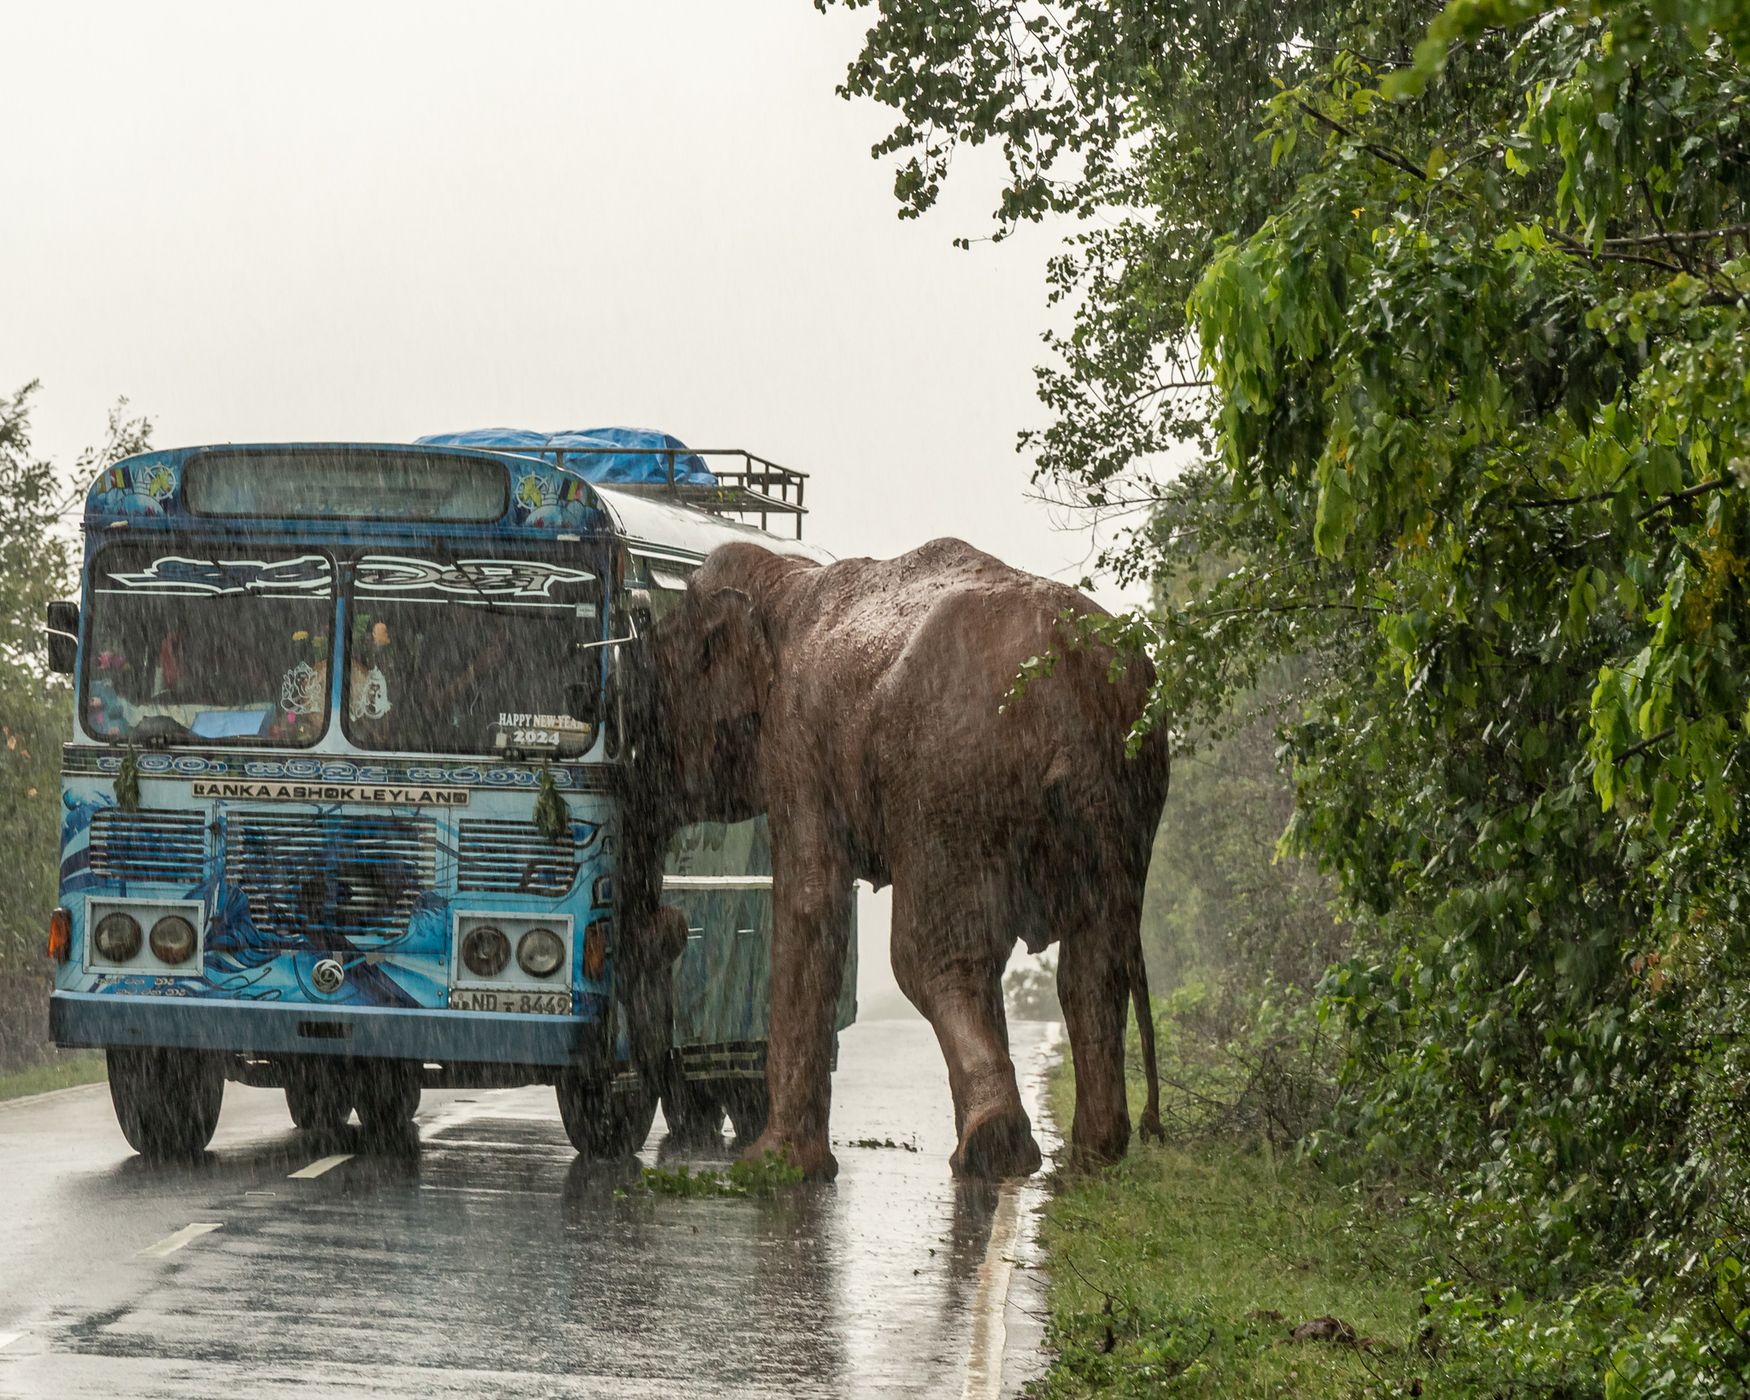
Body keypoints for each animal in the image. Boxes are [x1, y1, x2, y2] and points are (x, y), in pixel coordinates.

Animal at [621, 537, 1166, 1180]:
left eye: (647, 699)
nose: (665, 924)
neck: (783, 577)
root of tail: (1076, 676)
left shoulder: (796, 743)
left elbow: (810, 902)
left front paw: (773, 1168)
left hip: (946, 782)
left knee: (931, 957)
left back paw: (994, 1149)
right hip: (1131, 796)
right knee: (1092, 963)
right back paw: (1091, 1156)